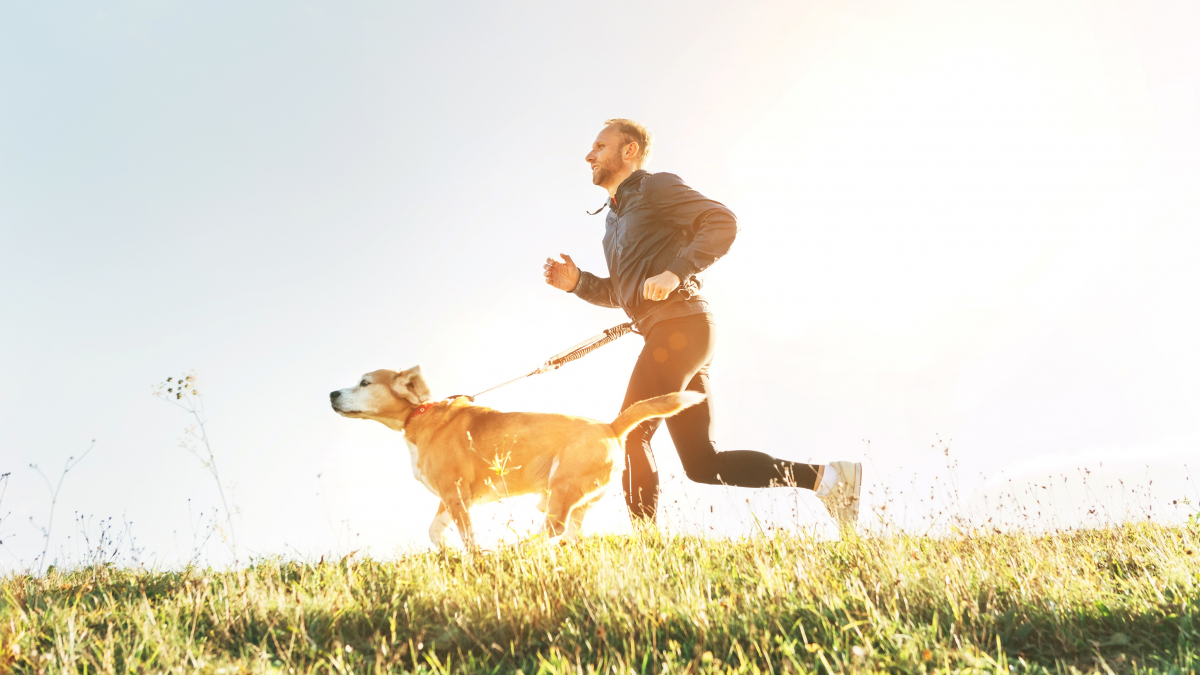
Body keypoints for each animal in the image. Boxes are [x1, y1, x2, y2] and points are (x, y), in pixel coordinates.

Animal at [328, 362, 700, 547]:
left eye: (364, 383)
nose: (331, 393)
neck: (418, 415)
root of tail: (610, 426)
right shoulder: (450, 498)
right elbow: (434, 531)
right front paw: (446, 554)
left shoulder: (456, 495)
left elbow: (468, 537)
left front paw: (473, 559)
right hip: (572, 498)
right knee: (569, 533)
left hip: (561, 488)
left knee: (554, 528)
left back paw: (520, 549)